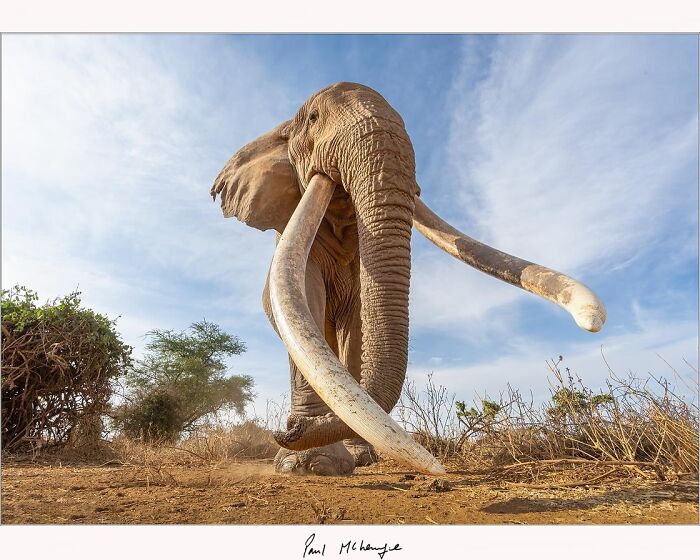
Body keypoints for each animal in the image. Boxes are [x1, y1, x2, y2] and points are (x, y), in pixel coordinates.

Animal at [209, 82, 608, 476]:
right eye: (313, 118)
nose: (288, 428)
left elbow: (357, 323)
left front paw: (328, 459)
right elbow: (296, 300)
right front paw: (305, 466)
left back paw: (361, 458)